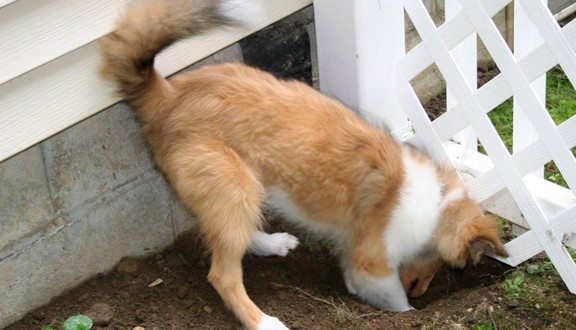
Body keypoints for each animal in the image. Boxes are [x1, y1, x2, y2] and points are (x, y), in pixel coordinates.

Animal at [100, 1, 508, 328]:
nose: (423, 295)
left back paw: (272, 243)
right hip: (233, 185)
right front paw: (404, 312)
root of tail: (168, 96)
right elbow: (390, 293)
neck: (436, 205)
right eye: (447, 266)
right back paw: (262, 321)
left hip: (239, 189)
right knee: (223, 274)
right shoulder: (374, 261)